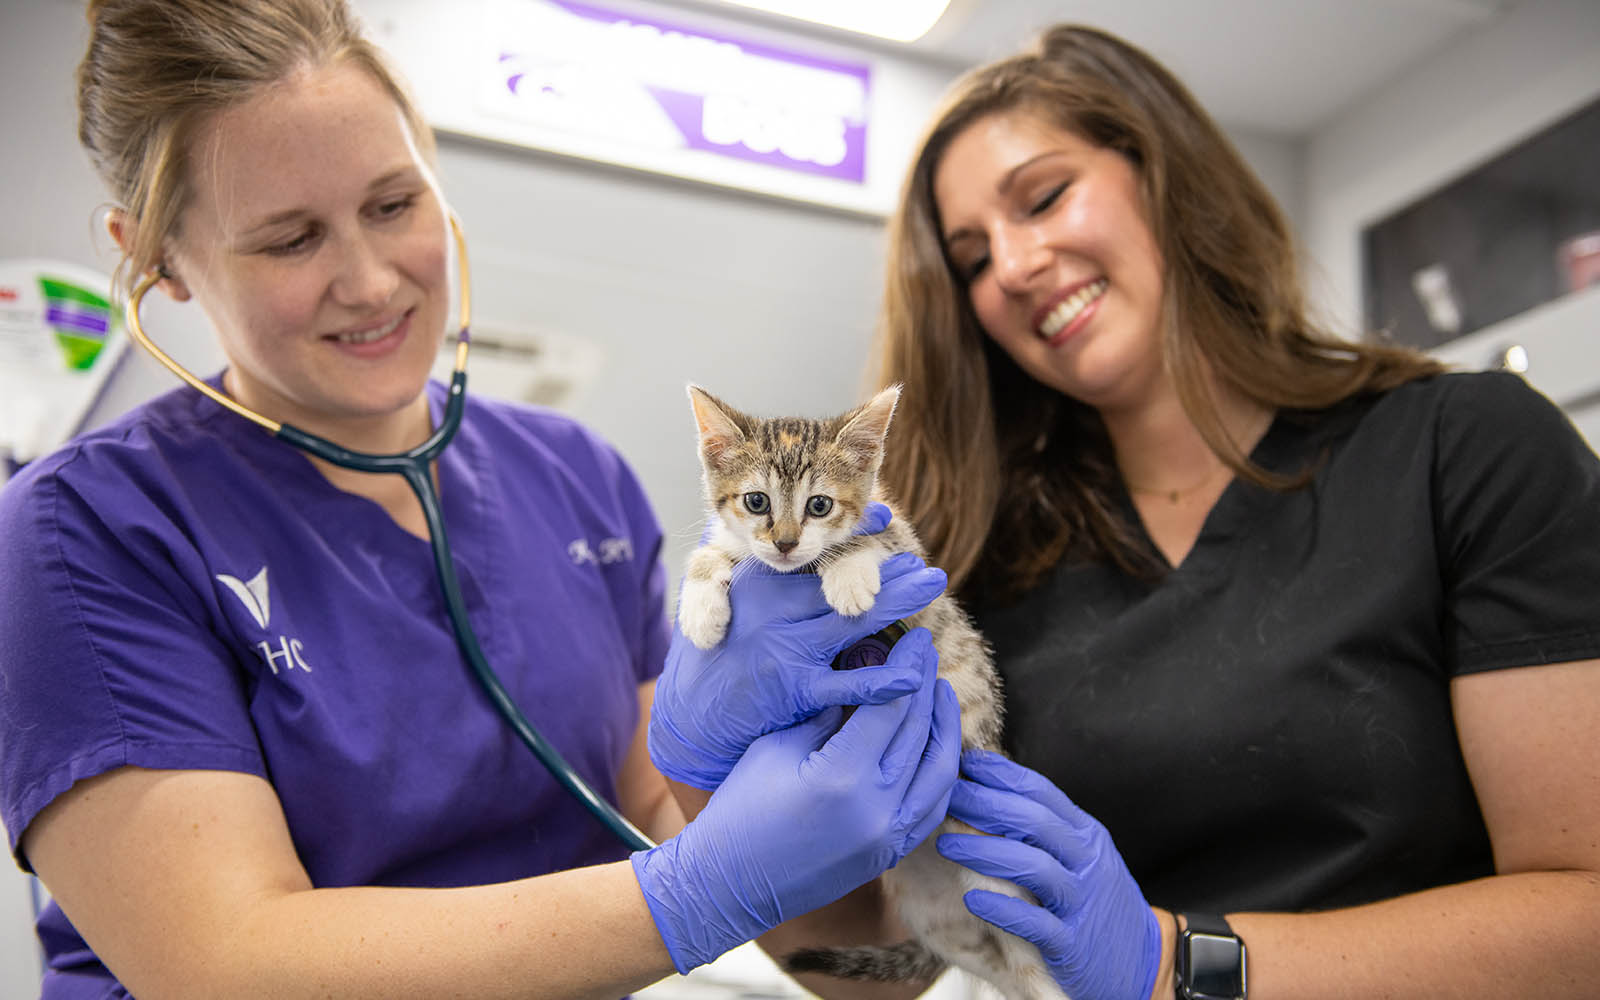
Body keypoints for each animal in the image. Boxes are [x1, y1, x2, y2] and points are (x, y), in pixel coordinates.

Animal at [681, 384, 1068, 998]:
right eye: (757, 502)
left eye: (819, 506)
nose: (785, 543)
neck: (790, 575)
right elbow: (713, 550)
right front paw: (699, 607)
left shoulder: (904, 547)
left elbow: (870, 543)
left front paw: (847, 573)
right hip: (943, 919)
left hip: (1000, 876)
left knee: (1031, 952)